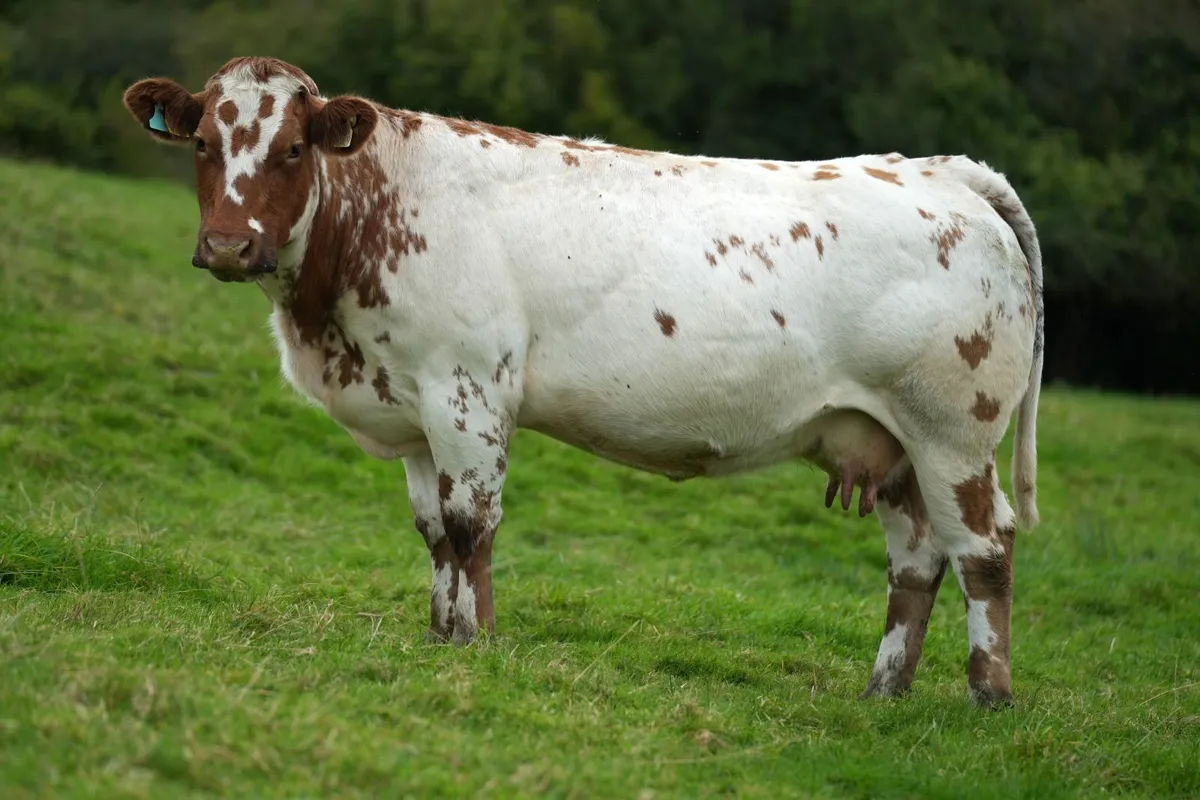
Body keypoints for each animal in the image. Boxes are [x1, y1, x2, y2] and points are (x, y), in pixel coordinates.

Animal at [122, 56, 1044, 707]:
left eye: (291, 148)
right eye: (202, 145)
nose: (230, 245)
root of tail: (937, 169)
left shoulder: (467, 389)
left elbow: (471, 526)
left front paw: (476, 645)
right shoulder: (413, 402)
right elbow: (433, 531)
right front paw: (440, 637)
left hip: (953, 432)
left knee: (984, 551)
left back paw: (987, 696)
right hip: (892, 444)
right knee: (917, 562)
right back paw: (883, 691)